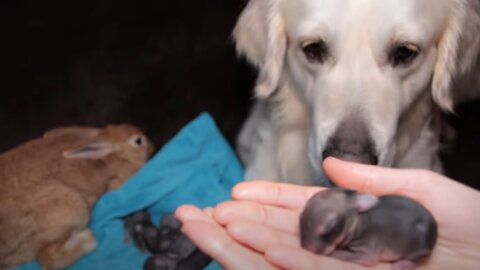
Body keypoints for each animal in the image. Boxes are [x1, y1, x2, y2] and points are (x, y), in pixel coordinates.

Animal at [0, 124, 154, 270]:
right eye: (138, 140)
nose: (152, 147)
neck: (117, 156)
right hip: (71, 206)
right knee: (48, 258)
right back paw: (88, 240)